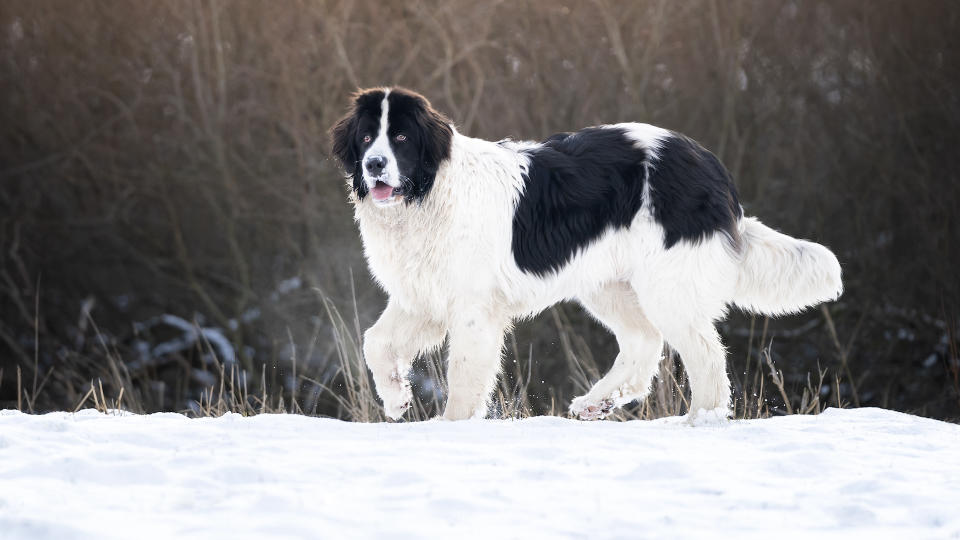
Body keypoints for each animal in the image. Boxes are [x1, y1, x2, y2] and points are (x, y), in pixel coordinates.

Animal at [330, 86, 840, 420]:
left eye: (400, 138)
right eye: (366, 138)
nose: (374, 165)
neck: (430, 191)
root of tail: (710, 164)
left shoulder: (473, 309)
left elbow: (463, 375)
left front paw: (451, 427)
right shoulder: (422, 297)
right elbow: (375, 341)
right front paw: (396, 398)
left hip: (667, 283)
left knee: (706, 354)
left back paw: (701, 420)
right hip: (609, 284)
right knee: (644, 342)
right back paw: (598, 402)